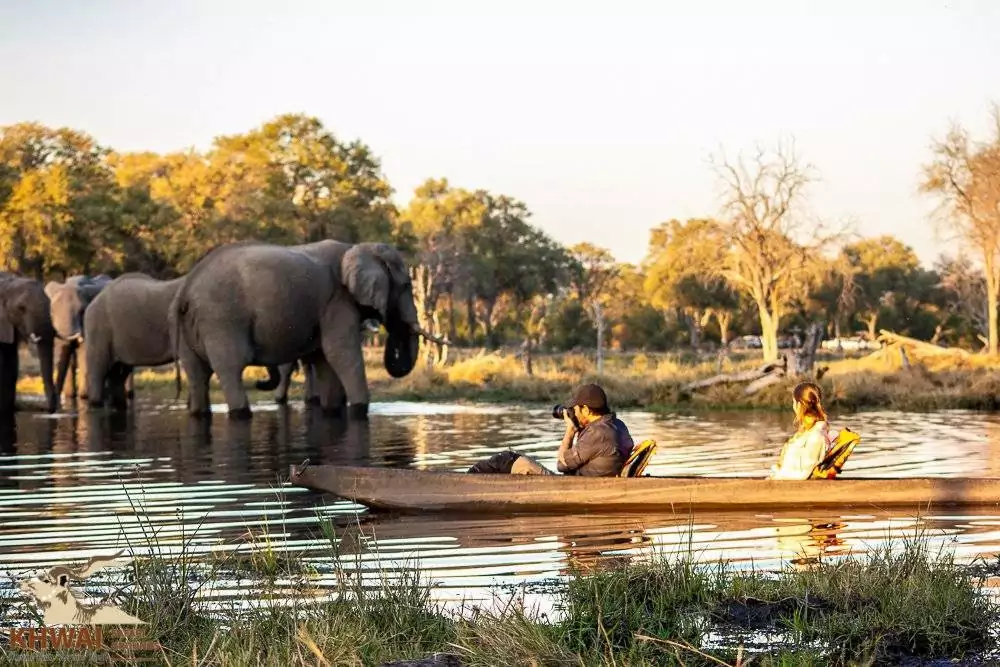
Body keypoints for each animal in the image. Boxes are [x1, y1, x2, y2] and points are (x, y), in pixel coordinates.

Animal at [45, 272, 113, 400]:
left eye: (82, 311)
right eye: (52, 311)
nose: (57, 397)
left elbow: (84, 353)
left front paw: (83, 396)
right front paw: (69, 396)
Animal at [84, 272, 280, 412]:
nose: (259, 383)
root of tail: (94, 301)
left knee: (118, 373)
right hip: (98, 329)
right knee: (99, 371)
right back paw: (95, 403)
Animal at [170, 239, 436, 418]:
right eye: (406, 285)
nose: (387, 322)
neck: (357, 248)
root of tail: (186, 286)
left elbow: (324, 359)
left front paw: (332, 409)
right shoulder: (337, 301)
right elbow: (341, 354)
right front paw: (360, 409)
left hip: (189, 328)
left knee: (197, 374)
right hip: (221, 319)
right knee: (230, 369)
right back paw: (241, 412)